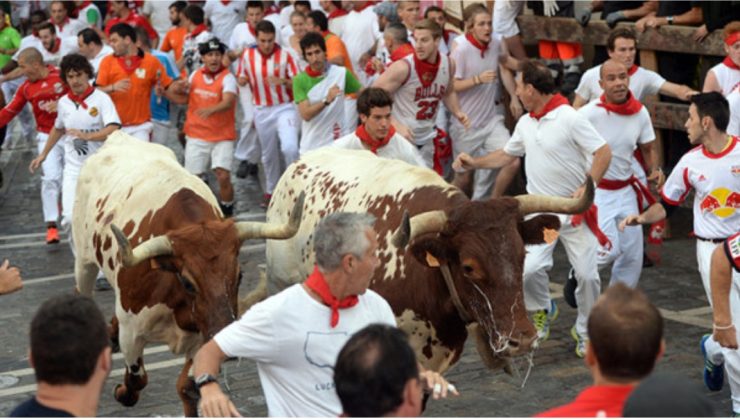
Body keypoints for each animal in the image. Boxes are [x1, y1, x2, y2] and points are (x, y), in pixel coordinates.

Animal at [73, 132, 304, 416]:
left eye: (239, 276)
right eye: (187, 282)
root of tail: (119, 136)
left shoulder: (204, 334)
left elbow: (188, 387)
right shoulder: (132, 332)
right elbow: (136, 381)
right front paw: (121, 391)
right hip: (84, 262)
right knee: (82, 290)